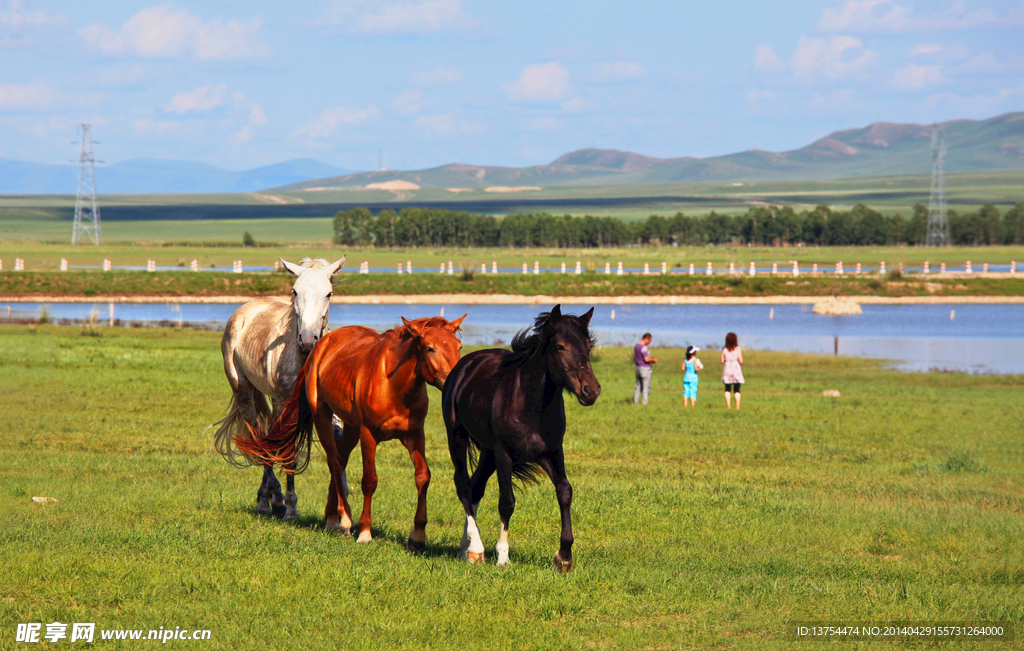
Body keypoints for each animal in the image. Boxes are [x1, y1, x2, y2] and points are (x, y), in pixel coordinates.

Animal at [211, 255, 348, 517]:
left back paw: (269, 496)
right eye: (295, 291)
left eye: (329, 293)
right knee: (260, 438)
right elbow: (289, 454)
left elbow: (338, 449)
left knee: (269, 440)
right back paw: (269, 500)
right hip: (245, 392)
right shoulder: (288, 408)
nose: (308, 341)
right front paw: (291, 506)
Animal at [234, 315, 462, 548]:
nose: (454, 379)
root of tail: (321, 344)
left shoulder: (415, 435)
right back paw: (343, 521)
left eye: (458, 347)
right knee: (335, 462)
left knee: (340, 459)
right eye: (430, 348)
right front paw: (365, 532)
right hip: (323, 417)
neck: (393, 384)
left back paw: (331, 517)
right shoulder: (368, 436)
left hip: (351, 428)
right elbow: (369, 480)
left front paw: (417, 536)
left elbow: (423, 477)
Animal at [440, 307, 598, 573]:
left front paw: (564, 557)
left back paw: (466, 549)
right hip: (458, 438)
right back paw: (476, 548)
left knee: (475, 487)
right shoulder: (504, 454)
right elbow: (507, 502)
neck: (531, 406)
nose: (591, 390)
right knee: (462, 484)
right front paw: (503, 556)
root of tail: (463, 365)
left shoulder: (552, 452)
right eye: (560, 346)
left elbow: (565, 492)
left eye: (588, 345)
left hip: (487, 452)